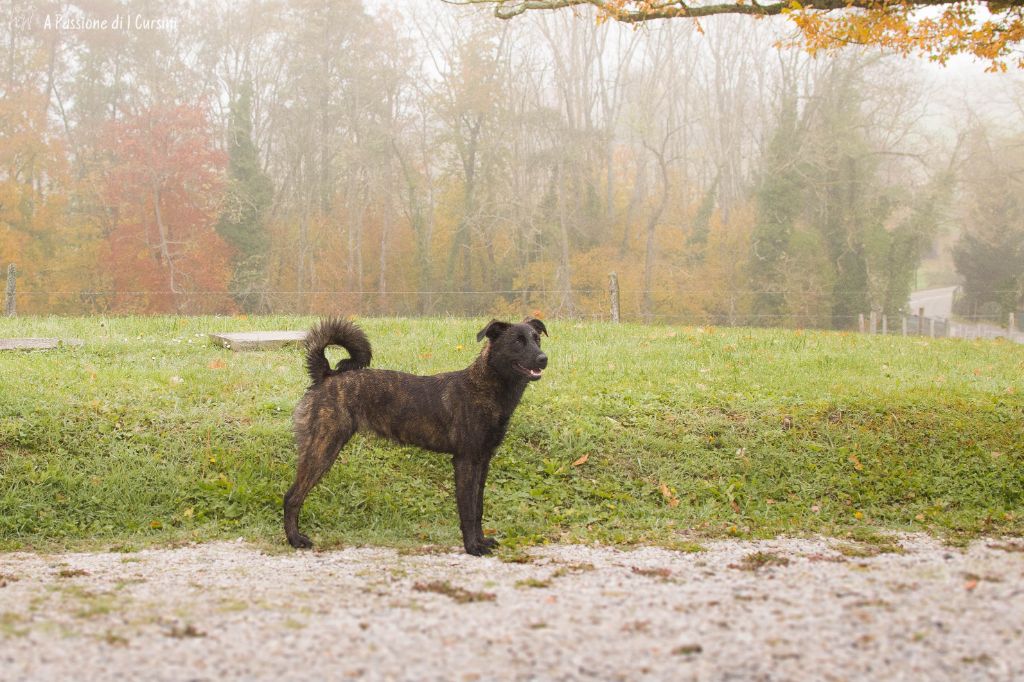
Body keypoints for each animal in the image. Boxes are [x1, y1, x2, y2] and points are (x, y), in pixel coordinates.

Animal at [284, 315, 548, 557]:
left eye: (536, 339)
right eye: (517, 341)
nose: (543, 359)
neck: (484, 387)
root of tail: (327, 375)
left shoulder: (483, 461)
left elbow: (478, 507)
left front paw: (482, 541)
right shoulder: (466, 461)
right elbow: (468, 510)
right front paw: (472, 547)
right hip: (322, 449)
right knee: (292, 497)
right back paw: (295, 540)